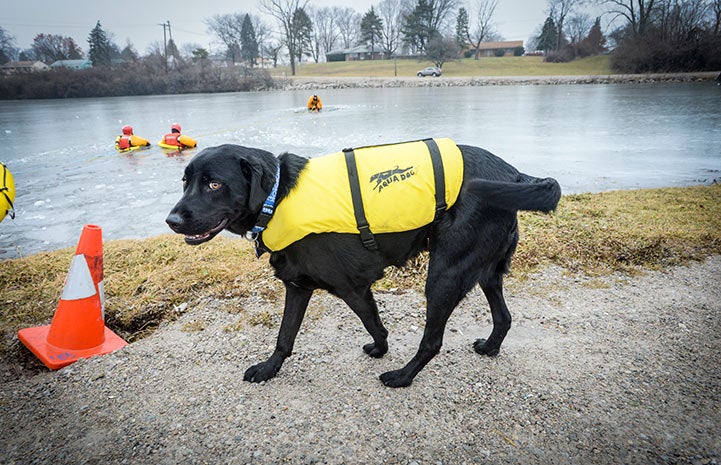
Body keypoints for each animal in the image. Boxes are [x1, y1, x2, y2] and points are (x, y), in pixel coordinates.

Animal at [166, 140, 560, 384]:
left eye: (214, 184)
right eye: (185, 181)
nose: (171, 220)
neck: (277, 198)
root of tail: (514, 174)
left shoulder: (352, 287)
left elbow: (374, 324)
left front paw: (381, 350)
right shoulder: (297, 287)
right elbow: (285, 337)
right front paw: (269, 369)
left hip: (444, 274)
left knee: (432, 341)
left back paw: (402, 377)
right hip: (486, 271)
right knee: (504, 317)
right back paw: (490, 348)